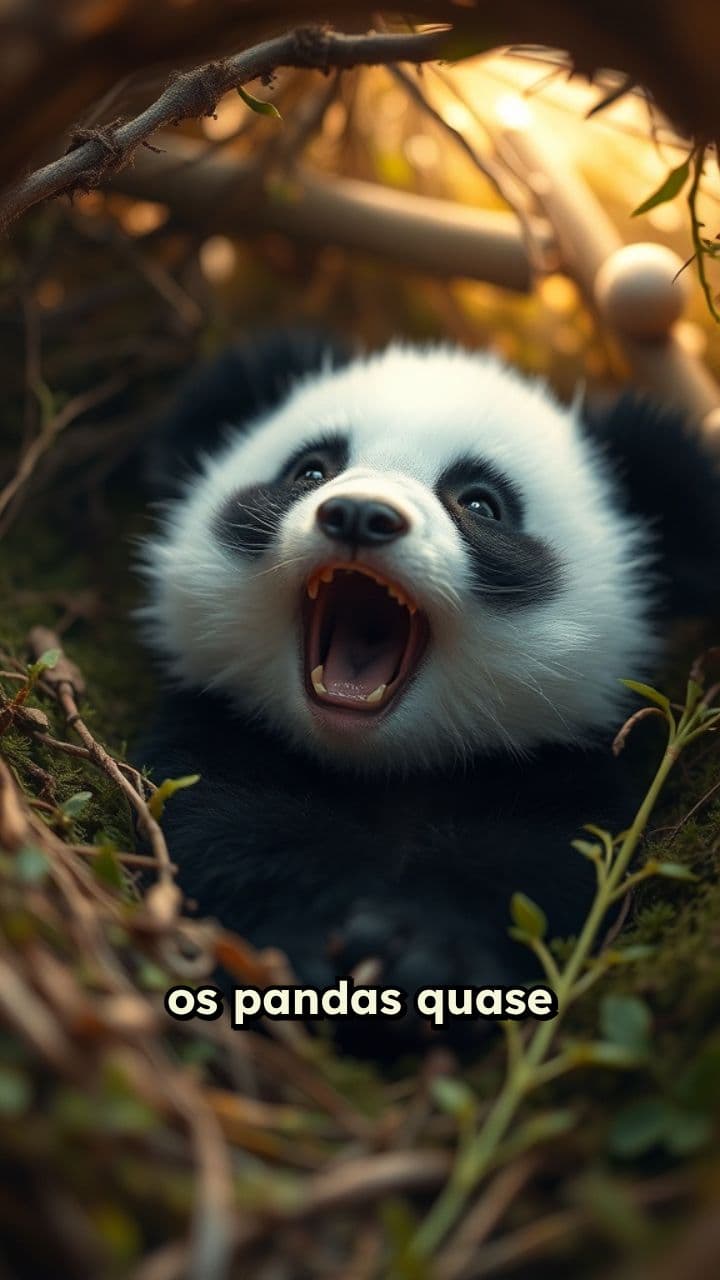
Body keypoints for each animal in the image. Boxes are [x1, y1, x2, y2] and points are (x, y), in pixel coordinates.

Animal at [136, 329, 720, 1032]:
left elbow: (533, 863)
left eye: (480, 502)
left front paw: (422, 961)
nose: (360, 515)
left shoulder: (557, 763)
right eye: (311, 470)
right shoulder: (226, 728)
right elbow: (229, 822)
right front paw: (311, 941)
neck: (386, 765)